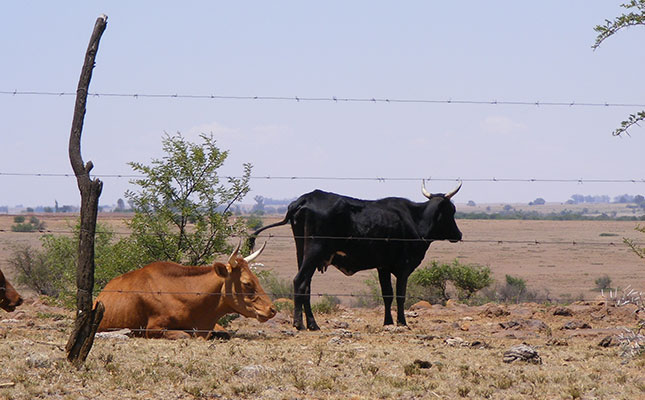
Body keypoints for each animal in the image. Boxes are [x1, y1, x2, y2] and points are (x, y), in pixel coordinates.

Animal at [248, 182, 462, 332]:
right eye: (451, 210)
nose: (459, 234)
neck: (415, 218)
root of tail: (306, 199)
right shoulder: (403, 267)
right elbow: (400, 295)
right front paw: (402, 322)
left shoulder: (383, 267)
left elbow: (387, 295)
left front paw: (388, 322)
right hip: (314, 251)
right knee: (299, 281)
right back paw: (299, 324)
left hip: (302, 252)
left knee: (306, 285)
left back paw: (312, 324)